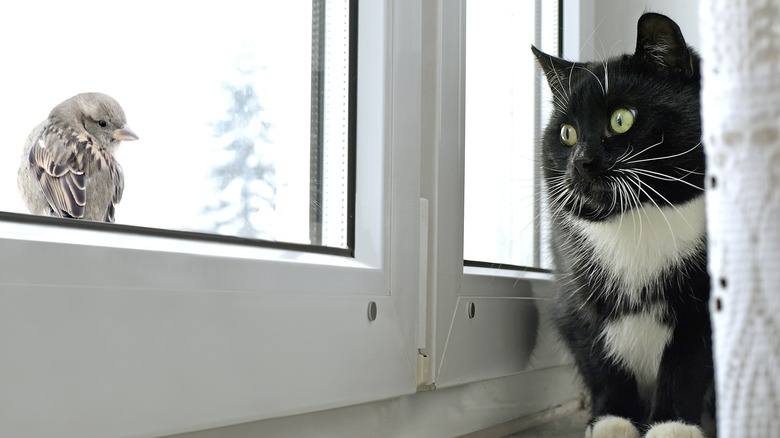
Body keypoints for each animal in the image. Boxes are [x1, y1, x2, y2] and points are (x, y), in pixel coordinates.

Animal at [532, 12, 716, 436]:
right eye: (567, 133)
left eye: (621, 120)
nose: (581, 162)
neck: (640, 218)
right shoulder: (574, 288)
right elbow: (602, 359)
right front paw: (612, 420)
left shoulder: (704, 302)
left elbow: (689, 363)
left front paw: (673, 425)